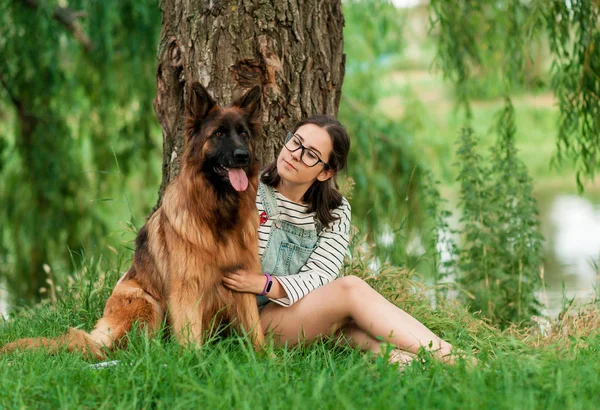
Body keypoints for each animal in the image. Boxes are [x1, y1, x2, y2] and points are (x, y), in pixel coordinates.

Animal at [1, 83, 264, 358]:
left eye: (243, 133)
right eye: (219, 134)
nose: (243, 155)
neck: (220, 213)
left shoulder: (242, 283)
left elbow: (255, 330)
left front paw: (268, 359)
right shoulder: (187, 288)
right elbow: (190, 336)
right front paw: (195, 362)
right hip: (145, 303)